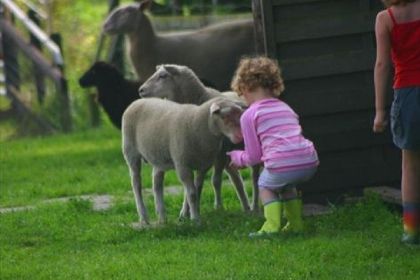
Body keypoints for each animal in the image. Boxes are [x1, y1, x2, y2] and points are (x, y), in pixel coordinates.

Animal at [139, 64, 260, 212]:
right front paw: (186, 211)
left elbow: (215, 180)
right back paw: (246, 207)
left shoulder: (219, 154)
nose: (141, 90)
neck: (200, 98)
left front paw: (217, 207)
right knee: (237, 180)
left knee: (254, 180)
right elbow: (192, 186)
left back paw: (255, 207)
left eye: (163, 76)